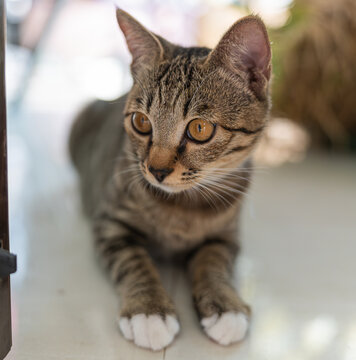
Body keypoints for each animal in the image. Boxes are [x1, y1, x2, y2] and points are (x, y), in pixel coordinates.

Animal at [69, 7, 270, 352]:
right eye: (141, 122)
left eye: (200, 129)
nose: (156, 170)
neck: (182, 207)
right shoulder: (109, 224)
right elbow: (133, 260)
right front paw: (150, 311)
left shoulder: (226, 236)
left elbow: (214, 261)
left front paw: (225, 305)